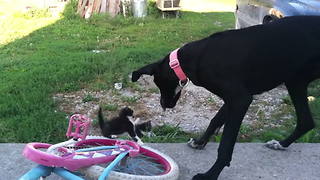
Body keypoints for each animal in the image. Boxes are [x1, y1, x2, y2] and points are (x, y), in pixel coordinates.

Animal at [131, 16, 320, 179]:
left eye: (159, 84)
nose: (164, 105)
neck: (193, 59)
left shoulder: (240, 100)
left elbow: (226, 145)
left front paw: (210, 175)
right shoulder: (232, 100)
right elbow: (215, 120)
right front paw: (200, 142)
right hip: (295, 81)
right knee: (306, 121)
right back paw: (281, 144)